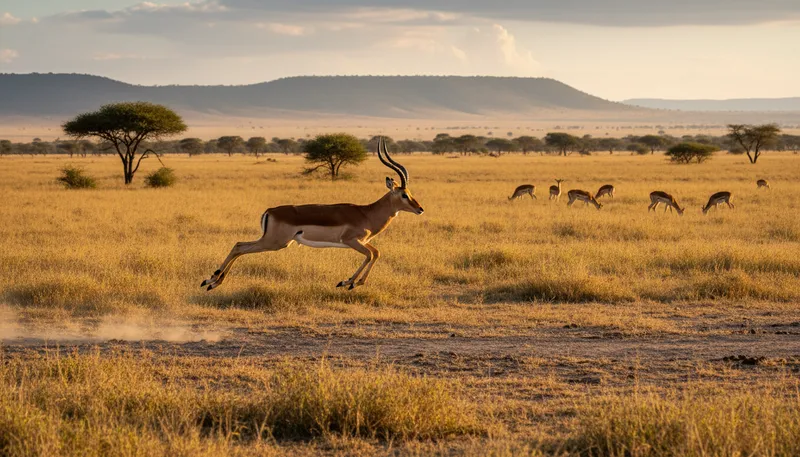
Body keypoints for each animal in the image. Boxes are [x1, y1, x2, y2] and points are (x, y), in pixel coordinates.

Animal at [200, 137, 424, 291]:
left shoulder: (360, 242)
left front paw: (352, 283)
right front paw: (348, 282)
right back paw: (211, 280)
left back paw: (212, 281)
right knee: (240, 247)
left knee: (239, 245)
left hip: (273, 242)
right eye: (404, 194)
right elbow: (372, 254)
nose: (420, 209)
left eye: (411, 193)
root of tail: (270, 211)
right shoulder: (351, 240)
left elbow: (375, 253)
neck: (366, 213)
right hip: (275, 243)